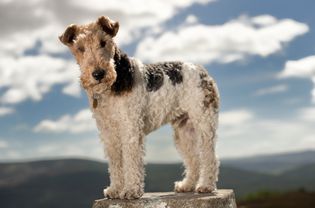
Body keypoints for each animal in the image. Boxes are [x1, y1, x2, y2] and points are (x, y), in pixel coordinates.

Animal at [60, 16, 221, 200]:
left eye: (103, 42)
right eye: (80, 48)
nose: (98, 74)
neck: (114, 84)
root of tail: (203, 71)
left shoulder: (130, 127)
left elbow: (131, 161)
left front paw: (131, 190)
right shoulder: (109, 132)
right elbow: (115, 163)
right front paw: (114, 190)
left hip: (204, 122)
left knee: (210, 156)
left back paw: (206, 186)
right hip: (184, 130)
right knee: (194, 159)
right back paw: (186, 185)